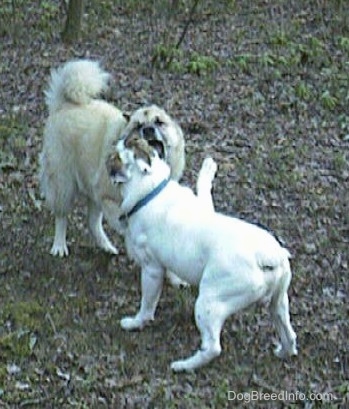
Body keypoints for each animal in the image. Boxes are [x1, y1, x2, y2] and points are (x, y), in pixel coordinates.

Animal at [106, 137, 296, 370]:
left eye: (117, 155)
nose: (116, 142)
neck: (151, 190)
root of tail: (268, 256)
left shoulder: (151, 270)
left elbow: (147, 304)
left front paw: (136, 322)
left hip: (209, 302)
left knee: (213, 347)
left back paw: (184, 365)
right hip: (279, 302)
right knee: (289, 335)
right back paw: (283, 352)